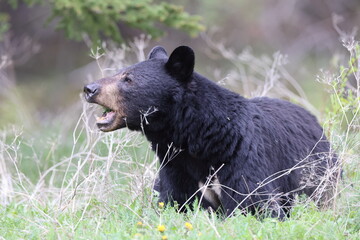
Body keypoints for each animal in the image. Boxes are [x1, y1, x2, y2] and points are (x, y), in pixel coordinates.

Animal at [83, 45, 338, 218]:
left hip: (320, 175)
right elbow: (173, 201)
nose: (89, 88)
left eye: (128, 79)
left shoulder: (243, 158)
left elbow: (255, 203)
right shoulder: (175, 168)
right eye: (120, 71)